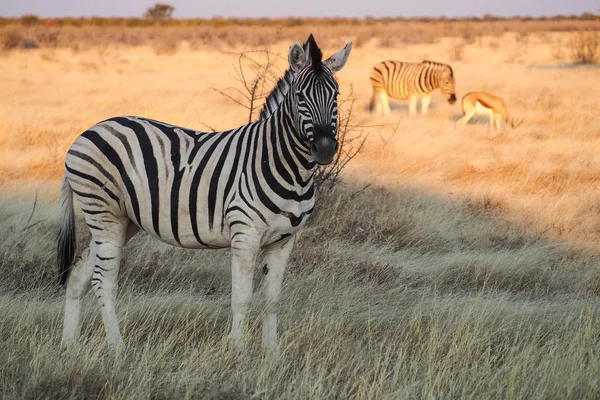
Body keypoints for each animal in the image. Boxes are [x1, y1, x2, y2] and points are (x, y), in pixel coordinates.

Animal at [56, 35, 352, 354]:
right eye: (300, 96)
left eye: (336, 96)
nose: (325, 149)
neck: (284, 165)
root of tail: (86, 132)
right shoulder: (245, 233)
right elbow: (241, 297)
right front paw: (236, 350)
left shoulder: (284, 239)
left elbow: (272, 299)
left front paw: (271, 354)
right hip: (103, 212)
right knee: (103, 281)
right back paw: (117, 347)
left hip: (124, 220)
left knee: (78, 275)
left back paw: (69, 345)